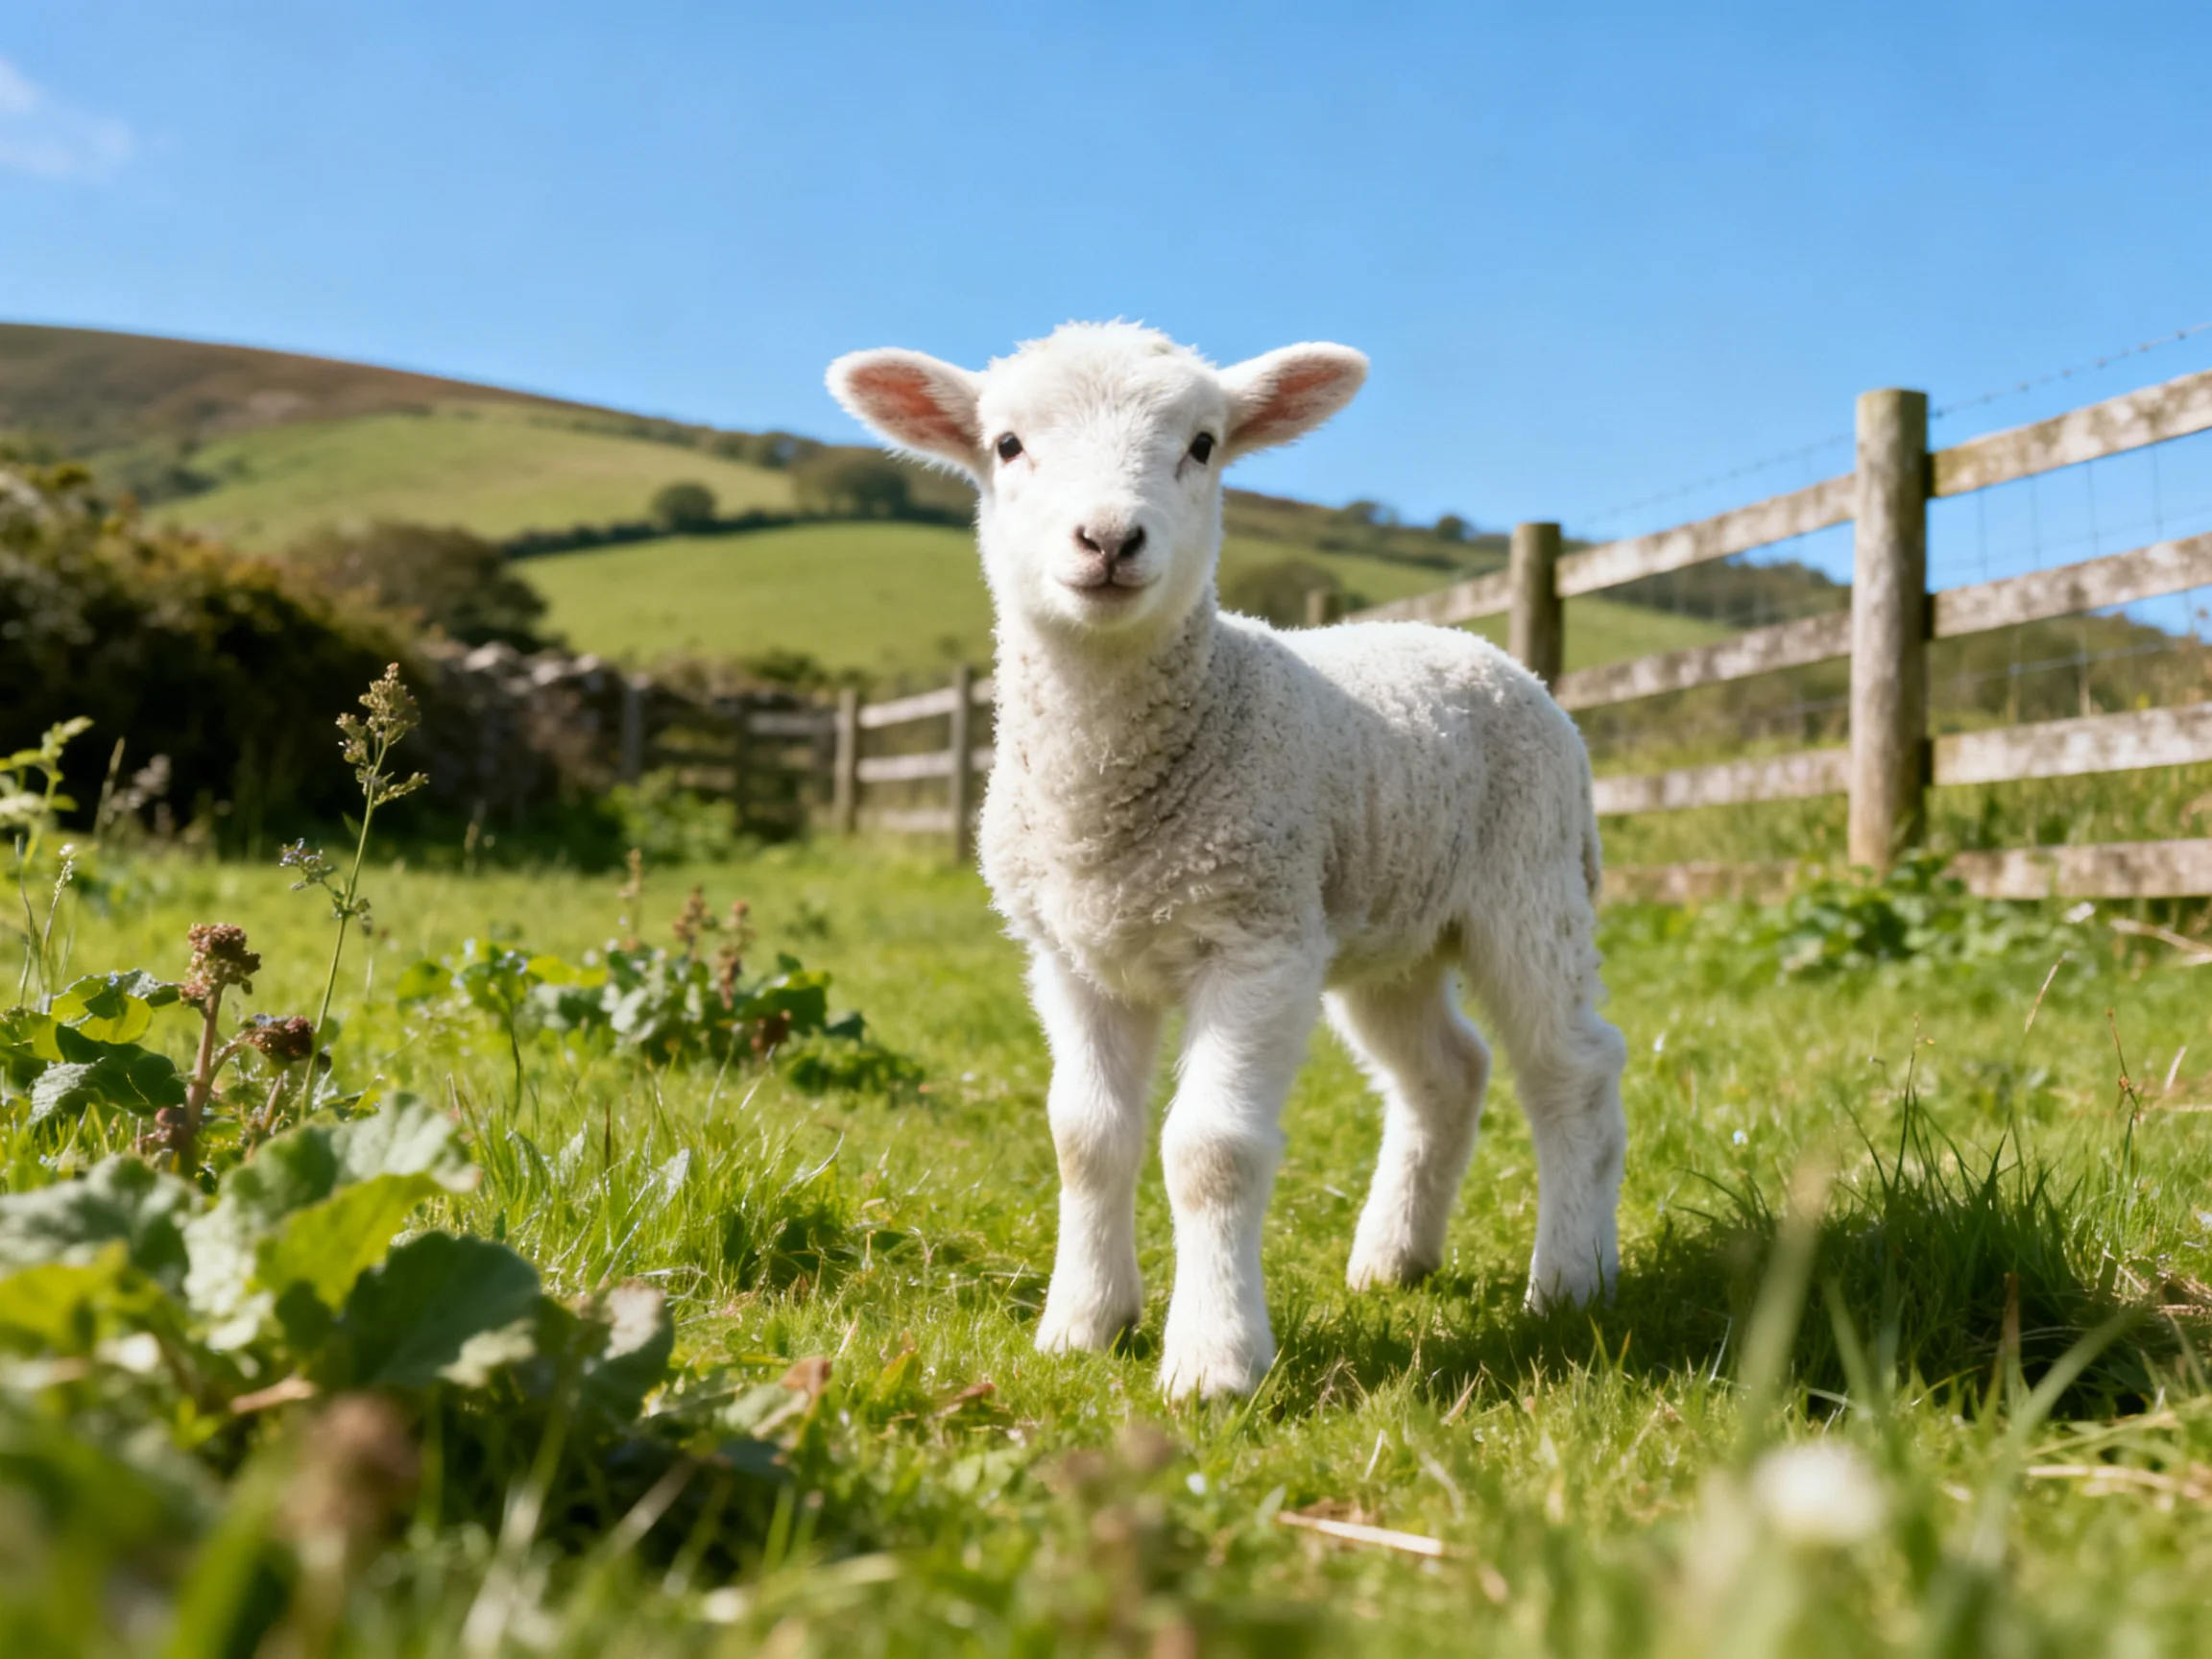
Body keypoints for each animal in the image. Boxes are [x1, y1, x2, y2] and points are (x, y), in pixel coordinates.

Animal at [827, 323, 1627, 1401]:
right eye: (1007, 445)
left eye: (1203, 444)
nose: (1108, 541)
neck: (1109, 812)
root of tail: (1478, 645)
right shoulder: (1071, 958)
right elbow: (1086, 1137)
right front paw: (1082, 1324)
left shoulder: (1254, 942)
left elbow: (1210, 1149)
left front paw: (1213, 1362)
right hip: (1386, 926)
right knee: (1446, 1073)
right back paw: (1394, 1257)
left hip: (1529, 887)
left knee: (1571, 1068)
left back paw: (1572, 1279)